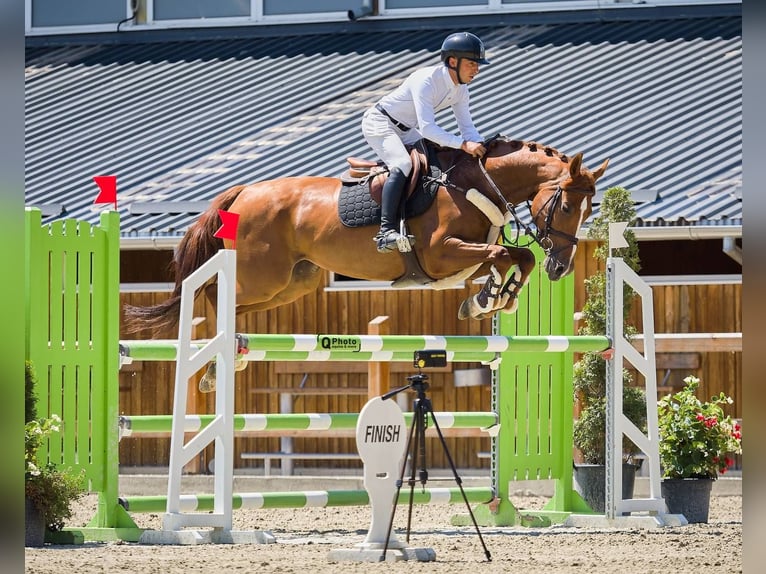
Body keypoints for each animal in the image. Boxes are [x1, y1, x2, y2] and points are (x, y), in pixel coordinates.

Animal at [126, 137, 608, 336]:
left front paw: (488, 299)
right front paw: (489, 298)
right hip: (262, 274)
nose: (561, 267)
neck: (478, 181)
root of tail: (245, 191)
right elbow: (503, 255)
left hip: (291, 283)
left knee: (235, 301)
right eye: (568, 207)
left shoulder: (466, 256)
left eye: (592, 210)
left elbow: (513, 258)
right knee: (211, 292)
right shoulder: (441, 254)